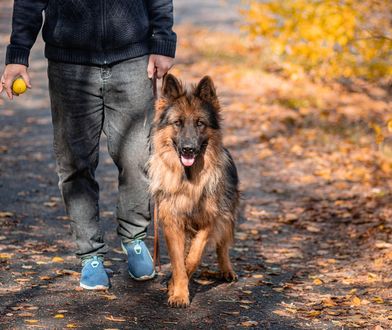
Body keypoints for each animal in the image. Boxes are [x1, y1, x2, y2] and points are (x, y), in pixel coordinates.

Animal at [147, 73, 239, 308]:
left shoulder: (209, 220)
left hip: (227, 215)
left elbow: (194, 257)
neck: (188, 180)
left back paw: (227, 270)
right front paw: (179, 292)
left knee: (222, 246)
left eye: (200, 123)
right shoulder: (172, 222)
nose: (188, 149)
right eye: (178, 123)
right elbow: (179, 262)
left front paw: (175, 287)